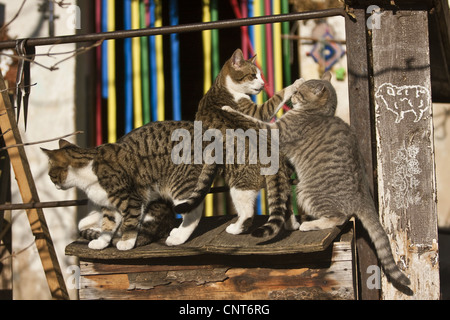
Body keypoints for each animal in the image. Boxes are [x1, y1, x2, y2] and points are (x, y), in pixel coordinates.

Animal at [41, 121, 210, 249]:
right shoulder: (109, 205)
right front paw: (101, 242)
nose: (55, 186)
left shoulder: (131, 199)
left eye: (50, 175)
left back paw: (178, 237)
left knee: (193, 211)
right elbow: (108, 224)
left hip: (179, 183)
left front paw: (126, 243)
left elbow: (129, 221)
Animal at [175, 48, 302, 238]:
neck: (223, 86)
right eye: (253, 75)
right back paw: (236, 228)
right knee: (251, 212)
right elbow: (278, 96)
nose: (263, 84)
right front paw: (296, 83)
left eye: (260, 75)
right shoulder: (258, 112)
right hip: (240, 187)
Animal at [221, 72, 412, 288]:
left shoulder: (275, 130)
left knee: (338, 218)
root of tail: (363, 197)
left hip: (307, 193)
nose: (293, 97)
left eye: (298, 92)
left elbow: (251, 120)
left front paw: (229, 109)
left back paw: (310, 224)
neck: (317, 113)